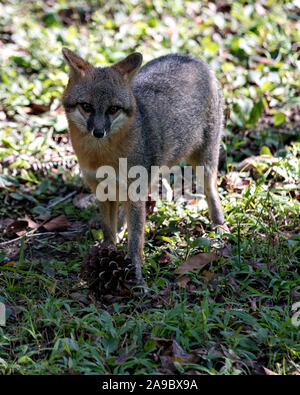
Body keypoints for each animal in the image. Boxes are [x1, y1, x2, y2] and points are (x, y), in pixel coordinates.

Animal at [62, 48, 229, 284]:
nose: (99, 132)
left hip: (204, 163)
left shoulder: (133, 192)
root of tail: (191, 58)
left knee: (211, 190)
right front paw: (107, 253)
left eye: (113, 109)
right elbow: (108, 231)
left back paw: (219, 223)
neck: (102, 156)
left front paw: (136, 277)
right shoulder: (103, 191)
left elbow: (135, 243)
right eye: (86, 106)